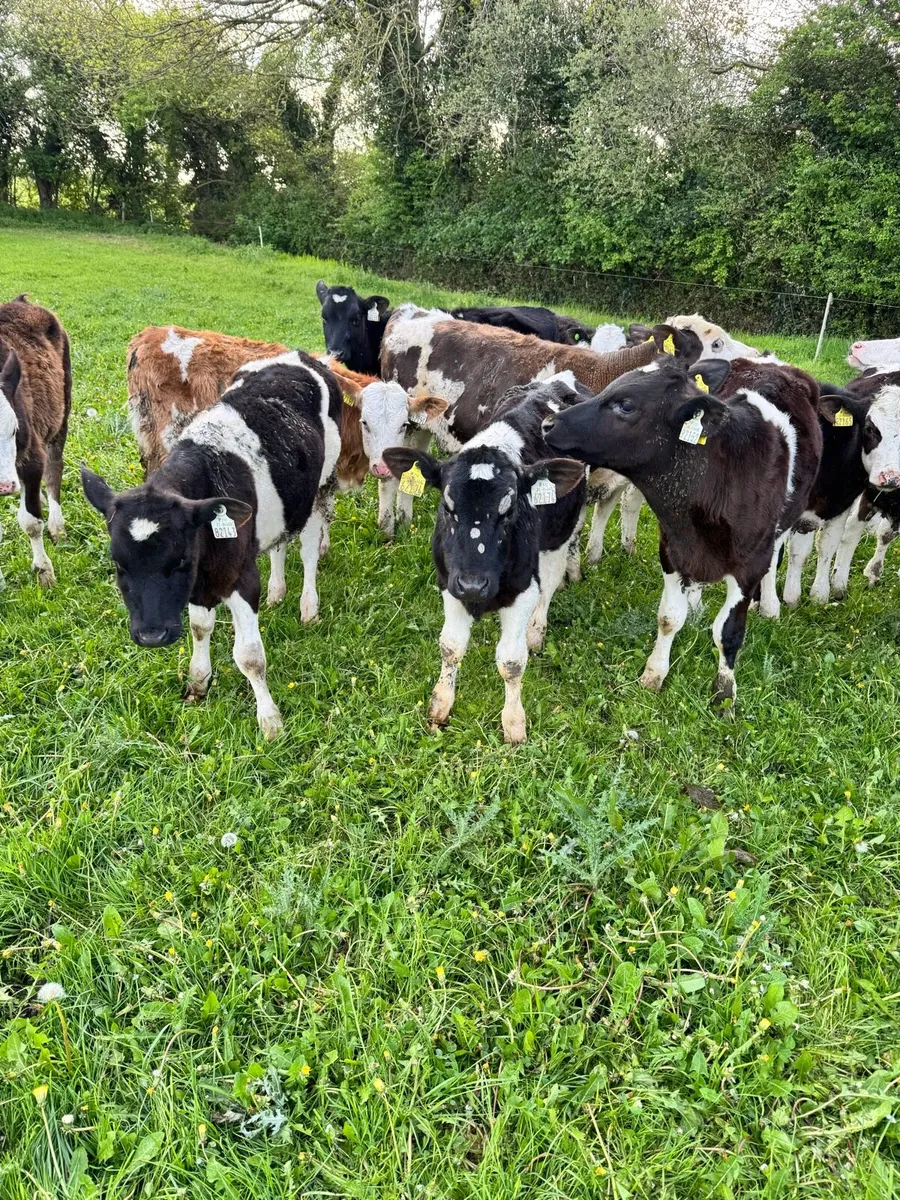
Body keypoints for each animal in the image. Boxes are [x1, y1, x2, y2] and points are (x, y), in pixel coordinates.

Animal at [81, 352, 343, 738]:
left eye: (180, 560)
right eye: (118, 565)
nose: (152, 636)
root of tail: (301, 355)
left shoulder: (241, 578)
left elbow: (249, 656)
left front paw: (270, 721)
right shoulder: (200, 586)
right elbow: (199, 628)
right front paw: (198, 682)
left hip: (321, 484)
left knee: (309, 546)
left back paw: (308, 606)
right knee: (279, 542)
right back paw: (277, 591)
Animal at [382, 377, 587, 744]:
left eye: (509, 511)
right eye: (447, 507)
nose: (474, 585)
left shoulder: (523, 590)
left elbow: (511, 661)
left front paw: (514, 725)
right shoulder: (449, 582)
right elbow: (450, 646)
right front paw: (440, 706)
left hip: (561, 533)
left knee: (551, 581)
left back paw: (536, 631)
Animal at [544, 355, 823, 705]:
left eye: (626, 405)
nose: (548, 424)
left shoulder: (748, 567)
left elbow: (729, 632)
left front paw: (724, 692)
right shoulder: (672, 549)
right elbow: (668, 617)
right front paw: (654, 673)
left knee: (774, 562)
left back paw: (769, 605)